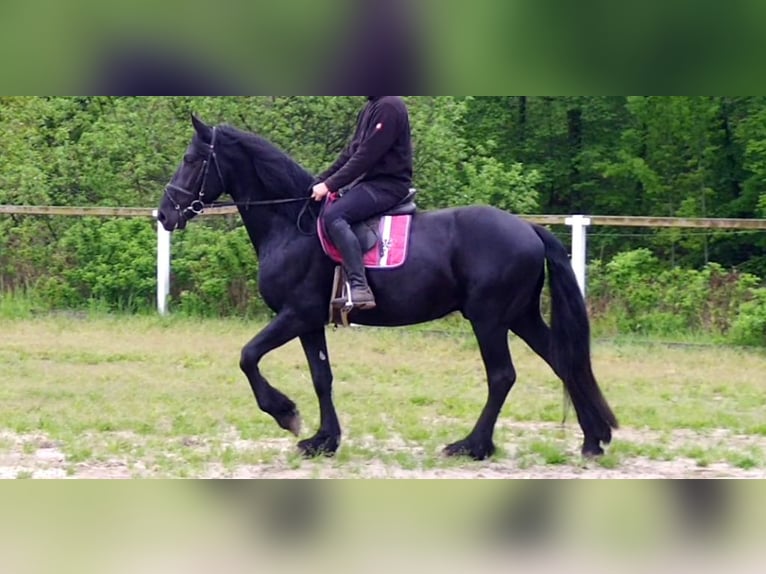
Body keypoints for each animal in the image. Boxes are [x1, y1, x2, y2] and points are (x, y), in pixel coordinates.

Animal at [157, 115, 618, 461]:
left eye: (191, 159)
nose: (164, 214)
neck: (290, 225)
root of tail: (528, 228)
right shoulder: (310, 322)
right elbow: (321, 377)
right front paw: (324, 440)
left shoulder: (295, 315)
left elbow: (248, 356)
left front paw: (285, 413)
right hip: (520, 315)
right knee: (562, 359)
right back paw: (592, 440)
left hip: (489, 319)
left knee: (503, 376)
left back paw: (473, 445)